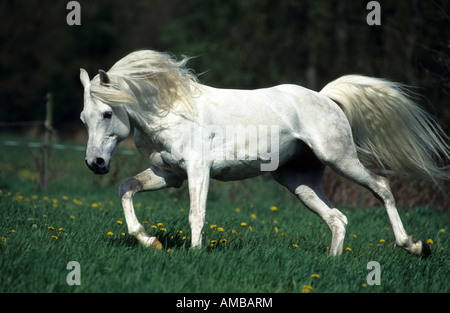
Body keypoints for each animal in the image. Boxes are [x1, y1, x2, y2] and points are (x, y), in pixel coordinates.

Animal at [79, 50, 448, 256]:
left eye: (108, 114)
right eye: (84, 118)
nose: (95, 163)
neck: (170, 111)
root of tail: (326, 97)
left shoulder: (198, 169)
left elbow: (196, 215)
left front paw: (194, 254)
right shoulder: (169, 175)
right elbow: (126, 188)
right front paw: (148, 240)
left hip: (340, 159)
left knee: (382, 188)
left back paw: (414, 245)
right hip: (298, 181)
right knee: (337, 219)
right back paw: (332, 262)